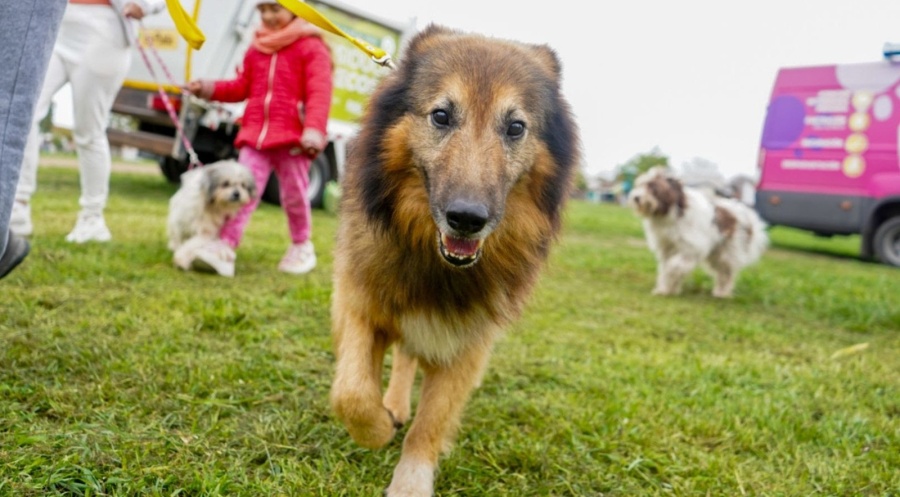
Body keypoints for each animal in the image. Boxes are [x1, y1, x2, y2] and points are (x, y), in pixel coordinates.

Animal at [334, 24, 580, 496]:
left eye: (516, 127)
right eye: (442, 116)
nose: (467, 219)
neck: (435, 261)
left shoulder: (466, 344)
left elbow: (431, 423)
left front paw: (410, 481)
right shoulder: (359, 304)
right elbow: (352, 394)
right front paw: (378, 428)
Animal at [624, 167, 768, 298]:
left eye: (653, 186)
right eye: (640, 185)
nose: (636, 197)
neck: (672, 212)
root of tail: (748, 215)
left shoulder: (691, 247)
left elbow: (673, 266)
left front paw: (670, 282)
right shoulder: (667, 248)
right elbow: (666, 267)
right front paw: (665, 289)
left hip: (728, 251)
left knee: (726, 272)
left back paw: (722, 293)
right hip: (716, 253)